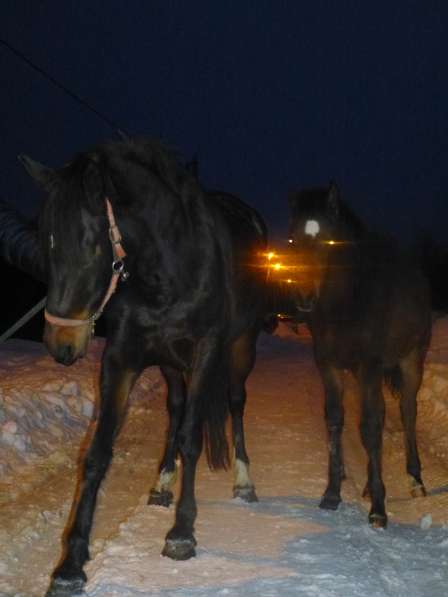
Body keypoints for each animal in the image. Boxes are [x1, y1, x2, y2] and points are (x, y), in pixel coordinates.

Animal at [19, 137, 268, 592]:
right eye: (47, 243)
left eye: (92, 245)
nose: (61, 345)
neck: (170, 269)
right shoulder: (122, 358)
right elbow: (98, 450)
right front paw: (70, 563)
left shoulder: (205, 353)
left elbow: (191, 439)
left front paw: (182, 533)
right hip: (170, 365)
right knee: (176, 408)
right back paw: (162, 482)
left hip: (241, 349)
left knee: (235, 403)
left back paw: (244, 480)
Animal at [288, 182, 430, 528]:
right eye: (294, 239)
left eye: (328, 239)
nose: (304, 298)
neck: (348, 301)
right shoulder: (330, 368)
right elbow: (336, 421)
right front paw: (332, 494)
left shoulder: (368, 368)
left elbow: (369, 427)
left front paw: (378, 508)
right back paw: (366, 484)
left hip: (410, 362)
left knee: (406, 413)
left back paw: (415, 480)